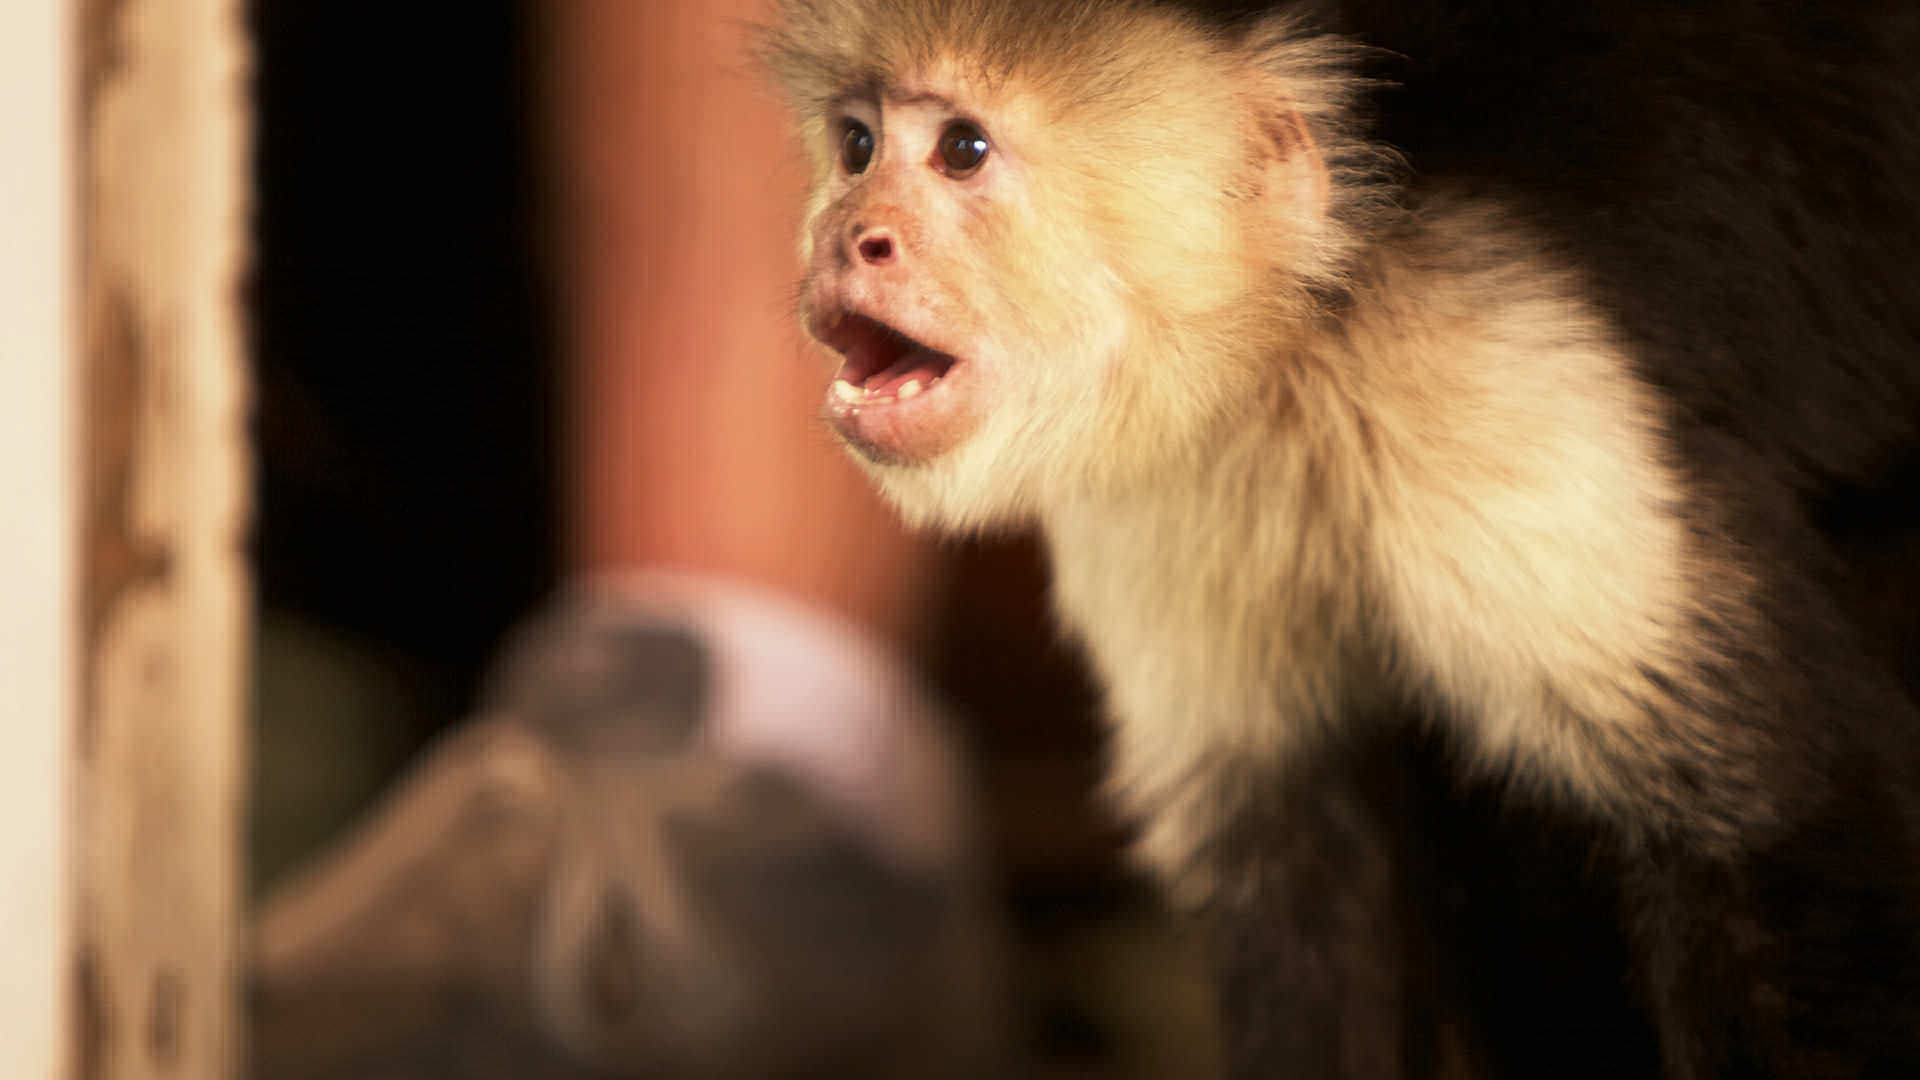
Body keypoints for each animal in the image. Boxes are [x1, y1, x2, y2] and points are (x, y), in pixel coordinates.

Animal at [757, 0, 1920, 1076]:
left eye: (962, 151)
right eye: (857, 145)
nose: (847, 237)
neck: (1303, 322)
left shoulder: (1494, 360)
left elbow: (1764, 835)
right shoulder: (1172, 489)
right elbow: (1294, 875)